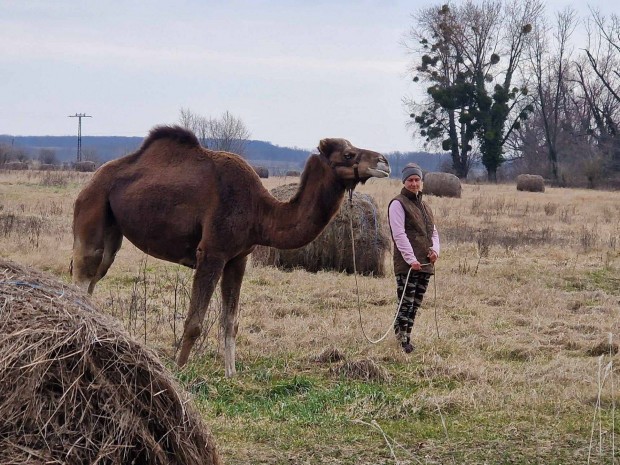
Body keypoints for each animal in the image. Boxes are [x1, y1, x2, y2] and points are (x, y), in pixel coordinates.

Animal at [71, 125, 388, 376]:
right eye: (348, 154)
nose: (383, 161)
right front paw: (179, 371)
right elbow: (194, 322)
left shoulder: (238, 257)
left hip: (113, 232)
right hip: (93, 211)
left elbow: (230, 321)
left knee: (95, 276)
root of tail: (90, 183)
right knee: (84, 275)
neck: (261, 211)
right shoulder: (212, 253)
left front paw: (231, 374)